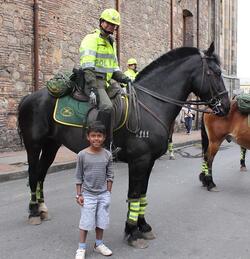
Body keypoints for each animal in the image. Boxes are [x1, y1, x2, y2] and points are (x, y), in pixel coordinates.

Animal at [17, 43, 229, 249]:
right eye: (216, 72)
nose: (226, 106)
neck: (150, 104)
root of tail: (29, 98)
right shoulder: (139, 161)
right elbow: (134, 194)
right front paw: (132, 232)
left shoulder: (148, 162)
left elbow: (142, 194)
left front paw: (143, 226)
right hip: (34, 145)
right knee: (34, 174)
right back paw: (34, 212)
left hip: (51, 145)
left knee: (41, 175)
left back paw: (41, 208)